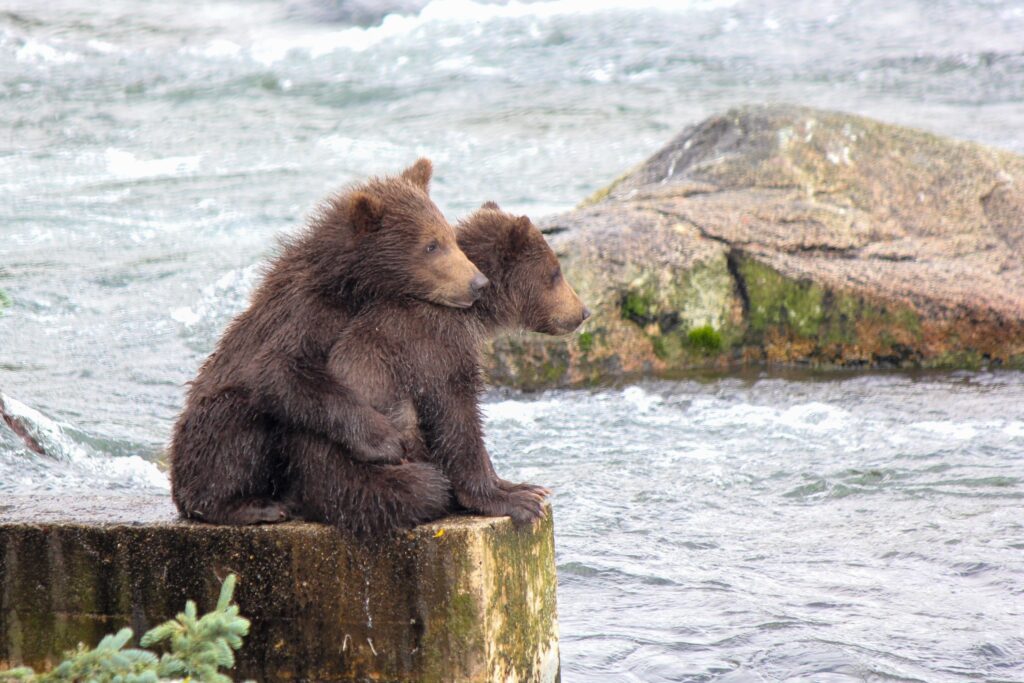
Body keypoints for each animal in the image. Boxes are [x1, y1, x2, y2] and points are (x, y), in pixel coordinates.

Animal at [169, 159, 488, 526]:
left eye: (450, 236)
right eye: (431, 245)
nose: (478, 282)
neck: (354, 286)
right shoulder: (306, 313)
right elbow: (279, 372)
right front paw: (386, 441)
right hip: (204, 432)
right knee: (235, 425)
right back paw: (252, 505)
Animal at [282, 201, 590, 537]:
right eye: (555, 272)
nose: (583, 311)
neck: (474, 313)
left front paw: (522, 486)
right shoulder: (435, 345)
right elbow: (456, 416)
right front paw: (516, 502)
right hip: (356, 471)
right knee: (415, 481)